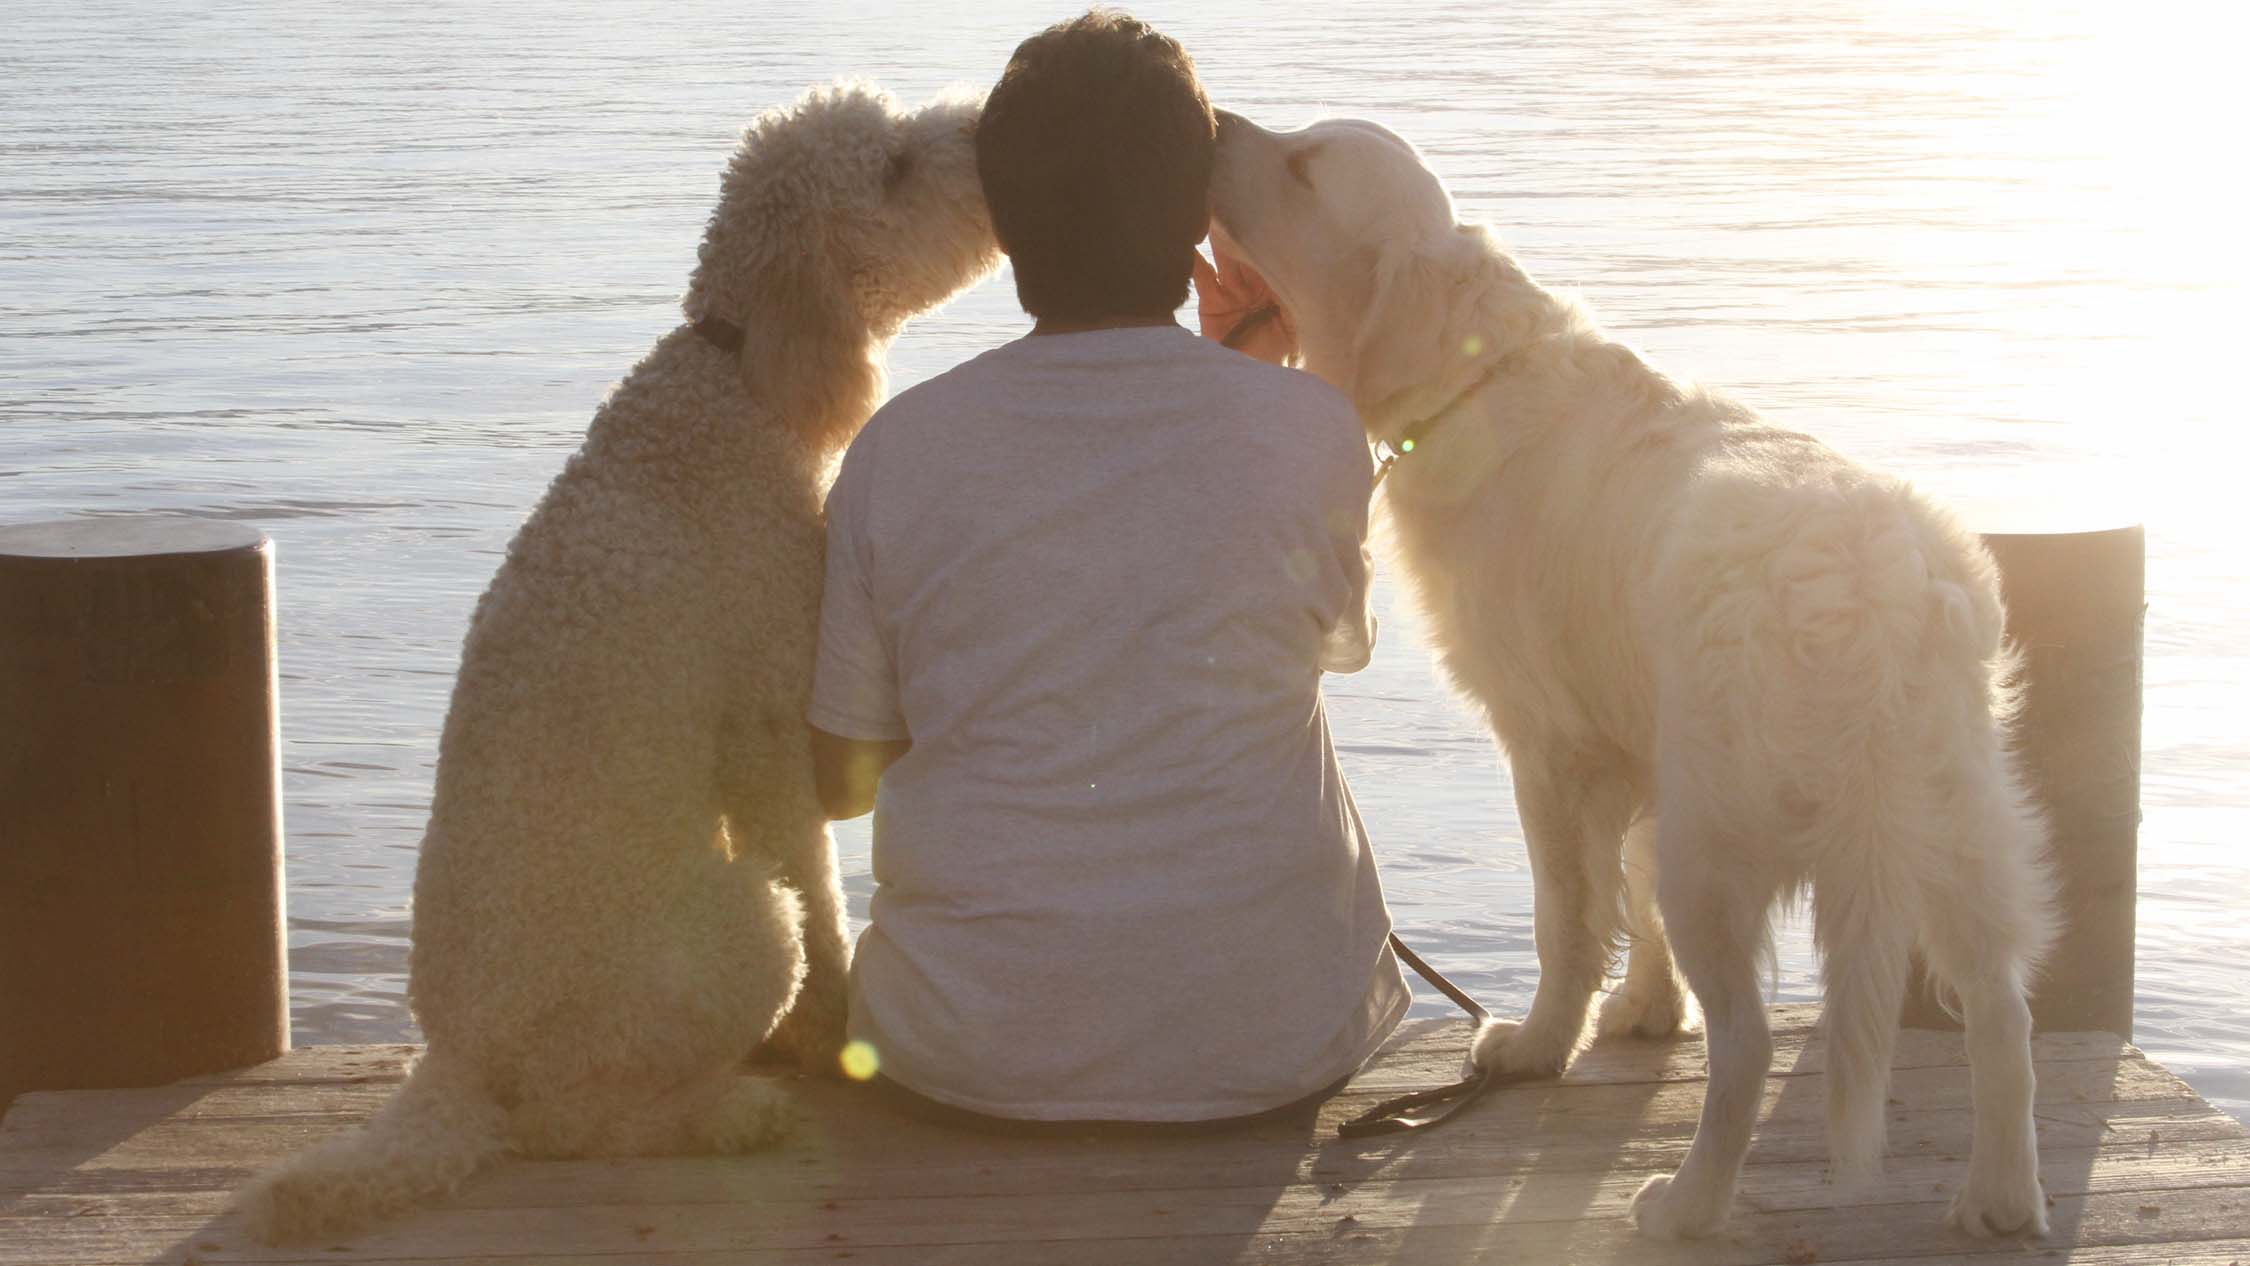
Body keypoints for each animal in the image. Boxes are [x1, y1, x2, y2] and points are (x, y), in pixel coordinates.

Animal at [235, 81, 994, 1250]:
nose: (990, 122)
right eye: (896, 168)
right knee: (569, 1120)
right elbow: (822, 888)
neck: (731, 376)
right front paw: (829, 1034)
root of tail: (456, 1067)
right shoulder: (770, 727)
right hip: (728, 931)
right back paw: (726, 1113)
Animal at [1215, 114, 2061, 1241]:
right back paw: (2000, 1199)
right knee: (2004, 1009)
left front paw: (1537, 1044)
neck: (1477, 372)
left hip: (1729, 839)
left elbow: (1567, 915)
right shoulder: (1633, 739)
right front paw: (1646, 1013)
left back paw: (1686, 1203)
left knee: (1749, 1042)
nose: (1215, 124)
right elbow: (1629, 879)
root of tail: (1871, 594)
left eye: (1306, 166)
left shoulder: (1546, 744)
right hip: (1957, 823)